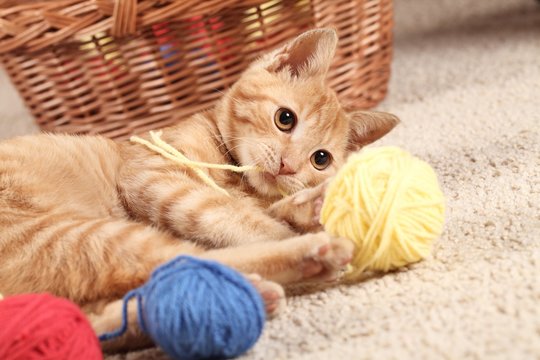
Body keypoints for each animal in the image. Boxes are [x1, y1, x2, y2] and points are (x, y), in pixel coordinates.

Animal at [0, 28, 396, 352]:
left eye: (320, 159)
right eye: (285, 119)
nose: (288, 165)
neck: (235, 176)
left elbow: (262, 210)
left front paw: (310, 206)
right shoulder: (155, 177)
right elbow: (239, 220)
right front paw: (298, 226)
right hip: (82, 236)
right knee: (190, 260)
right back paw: (312, 255)